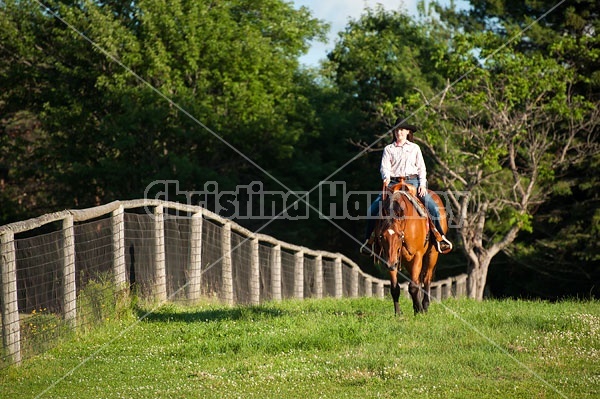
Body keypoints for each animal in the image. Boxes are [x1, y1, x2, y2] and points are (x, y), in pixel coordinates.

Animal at [372, 180, 448, 316]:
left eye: (399, 235)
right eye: (381, 236)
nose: (390, 264)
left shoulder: (417, 255)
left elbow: (413, 286)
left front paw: (419, 311)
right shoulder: (391, 258)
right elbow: (395, 288)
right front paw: (398, 314)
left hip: (432, 254)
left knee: (426, 278)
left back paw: (424, 306)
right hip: (407, 261)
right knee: (418, 280)